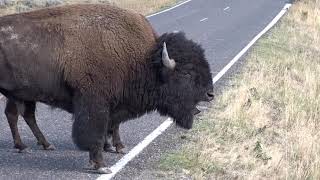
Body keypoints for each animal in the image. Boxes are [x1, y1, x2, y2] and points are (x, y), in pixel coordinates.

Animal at [0, 3, 215, 173]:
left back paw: (38, 145)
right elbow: (96, 133)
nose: (210, 94)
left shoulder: (113, 105)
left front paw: (111, 150)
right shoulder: (95, 105)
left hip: (24, 95)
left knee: (24, 115)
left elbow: (110, 127)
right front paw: (102, 165)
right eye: (187, 74)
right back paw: (24, 146)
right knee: (16, 115)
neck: (143, 60)